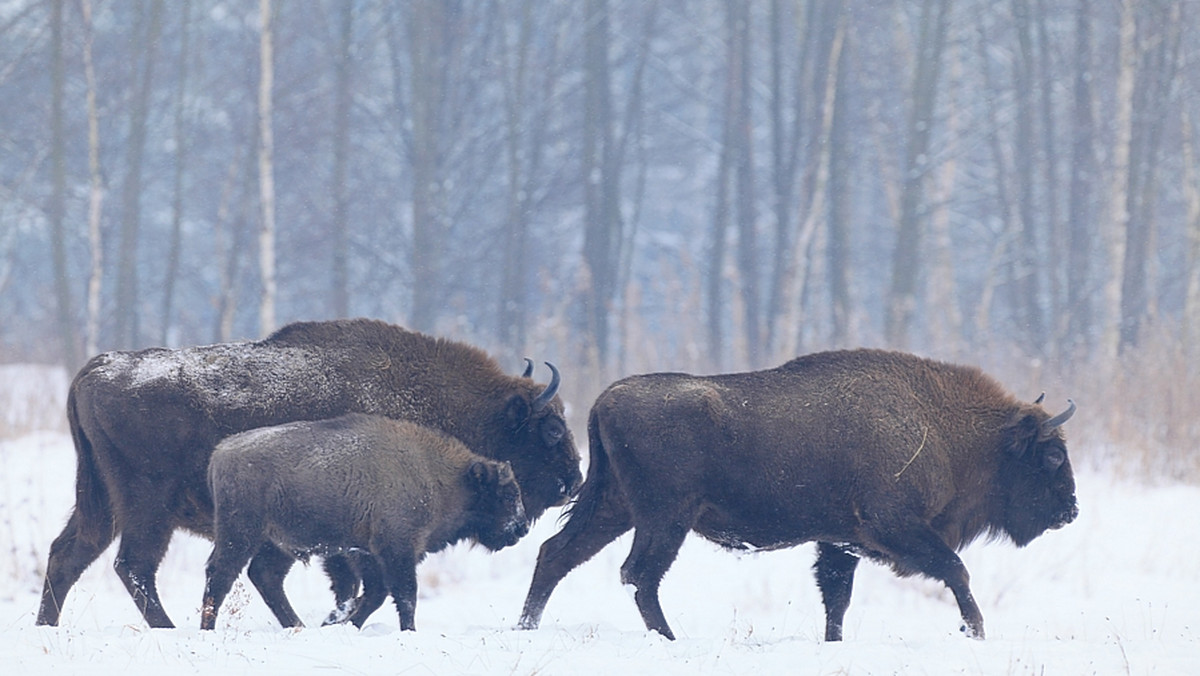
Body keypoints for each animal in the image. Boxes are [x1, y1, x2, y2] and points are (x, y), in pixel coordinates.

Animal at [199, 413, 528, 633]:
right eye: (508, 493)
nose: (522, 528)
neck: (444, 477)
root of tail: (221, 452)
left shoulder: (367, 553)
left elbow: (375, 595)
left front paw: (341, 622)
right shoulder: (396, 549)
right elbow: (404, 594)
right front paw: (408, 631)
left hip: (277, 544)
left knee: (265, 576)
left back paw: (298, 625)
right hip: (241, 533)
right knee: (221, 575)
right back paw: (209, 628)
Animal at [520, 353, 1084, 643]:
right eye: (1052, 456)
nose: (1071, 510)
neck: (941, 425)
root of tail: (603, 400)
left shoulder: (841, 542)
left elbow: (837, 596)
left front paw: (834, 643)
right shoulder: (895, 528)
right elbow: (955, 570)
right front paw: (977, 632)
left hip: (616, 507)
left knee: (558, 554)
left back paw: (526, 626)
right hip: (664, 518)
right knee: (638, 574)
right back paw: (668, 639)